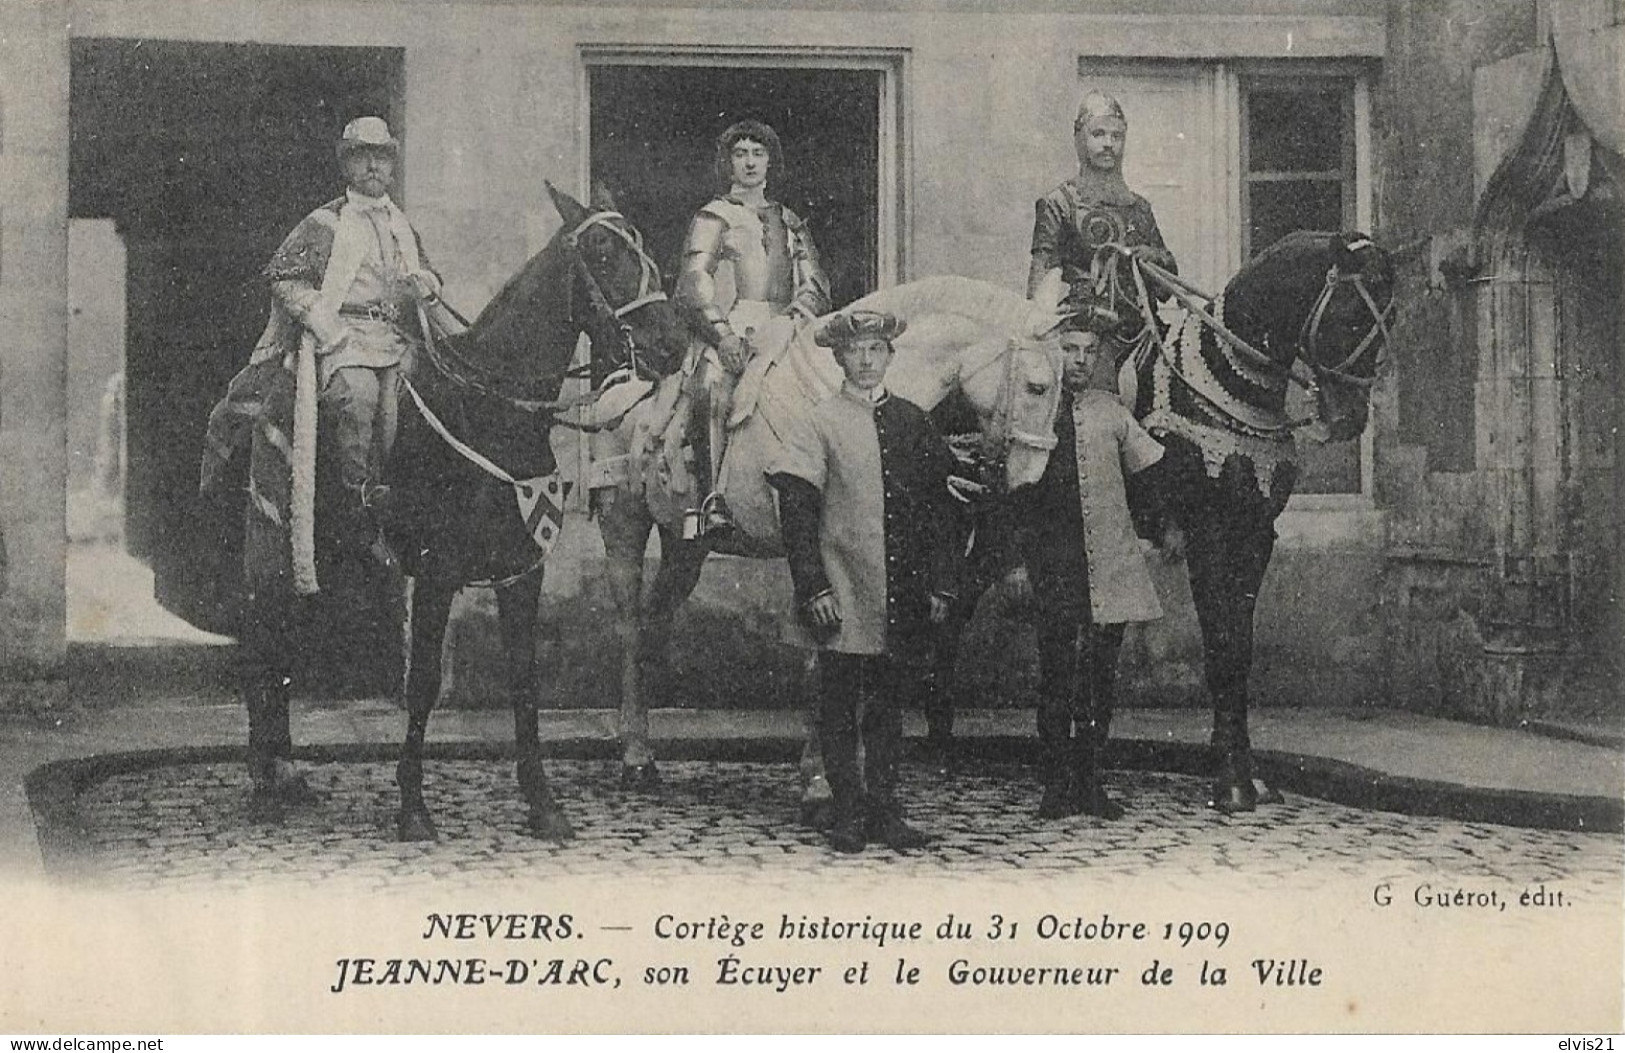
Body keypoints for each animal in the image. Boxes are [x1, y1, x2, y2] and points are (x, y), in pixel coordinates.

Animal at [209, 181, 685, 838]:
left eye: (644, 249)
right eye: (605, 254)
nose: (673, 344)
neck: (489, 411)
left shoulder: (521, 571)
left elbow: (524, 679)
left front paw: (542, 802)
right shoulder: (437, 572)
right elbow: (424, 683)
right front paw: (413, 806)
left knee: (282, 647)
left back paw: (285, 775)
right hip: (272, 543)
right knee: (260, 643)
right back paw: (263, 784)